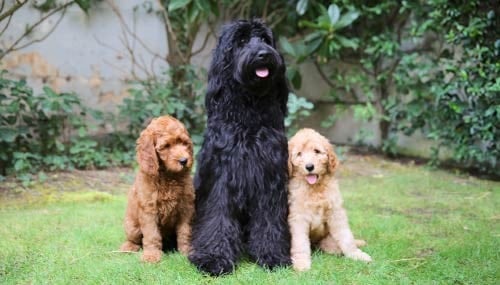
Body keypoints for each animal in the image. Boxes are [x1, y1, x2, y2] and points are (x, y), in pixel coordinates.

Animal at [190, 18, 292, 274]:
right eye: (242, 40)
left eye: (265, 39)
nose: (264, 54)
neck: (249, 111)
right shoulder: (222, 176)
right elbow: (218, 215)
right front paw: (213, 257)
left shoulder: (269, 175)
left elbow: (269, 218)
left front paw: (272, 255)